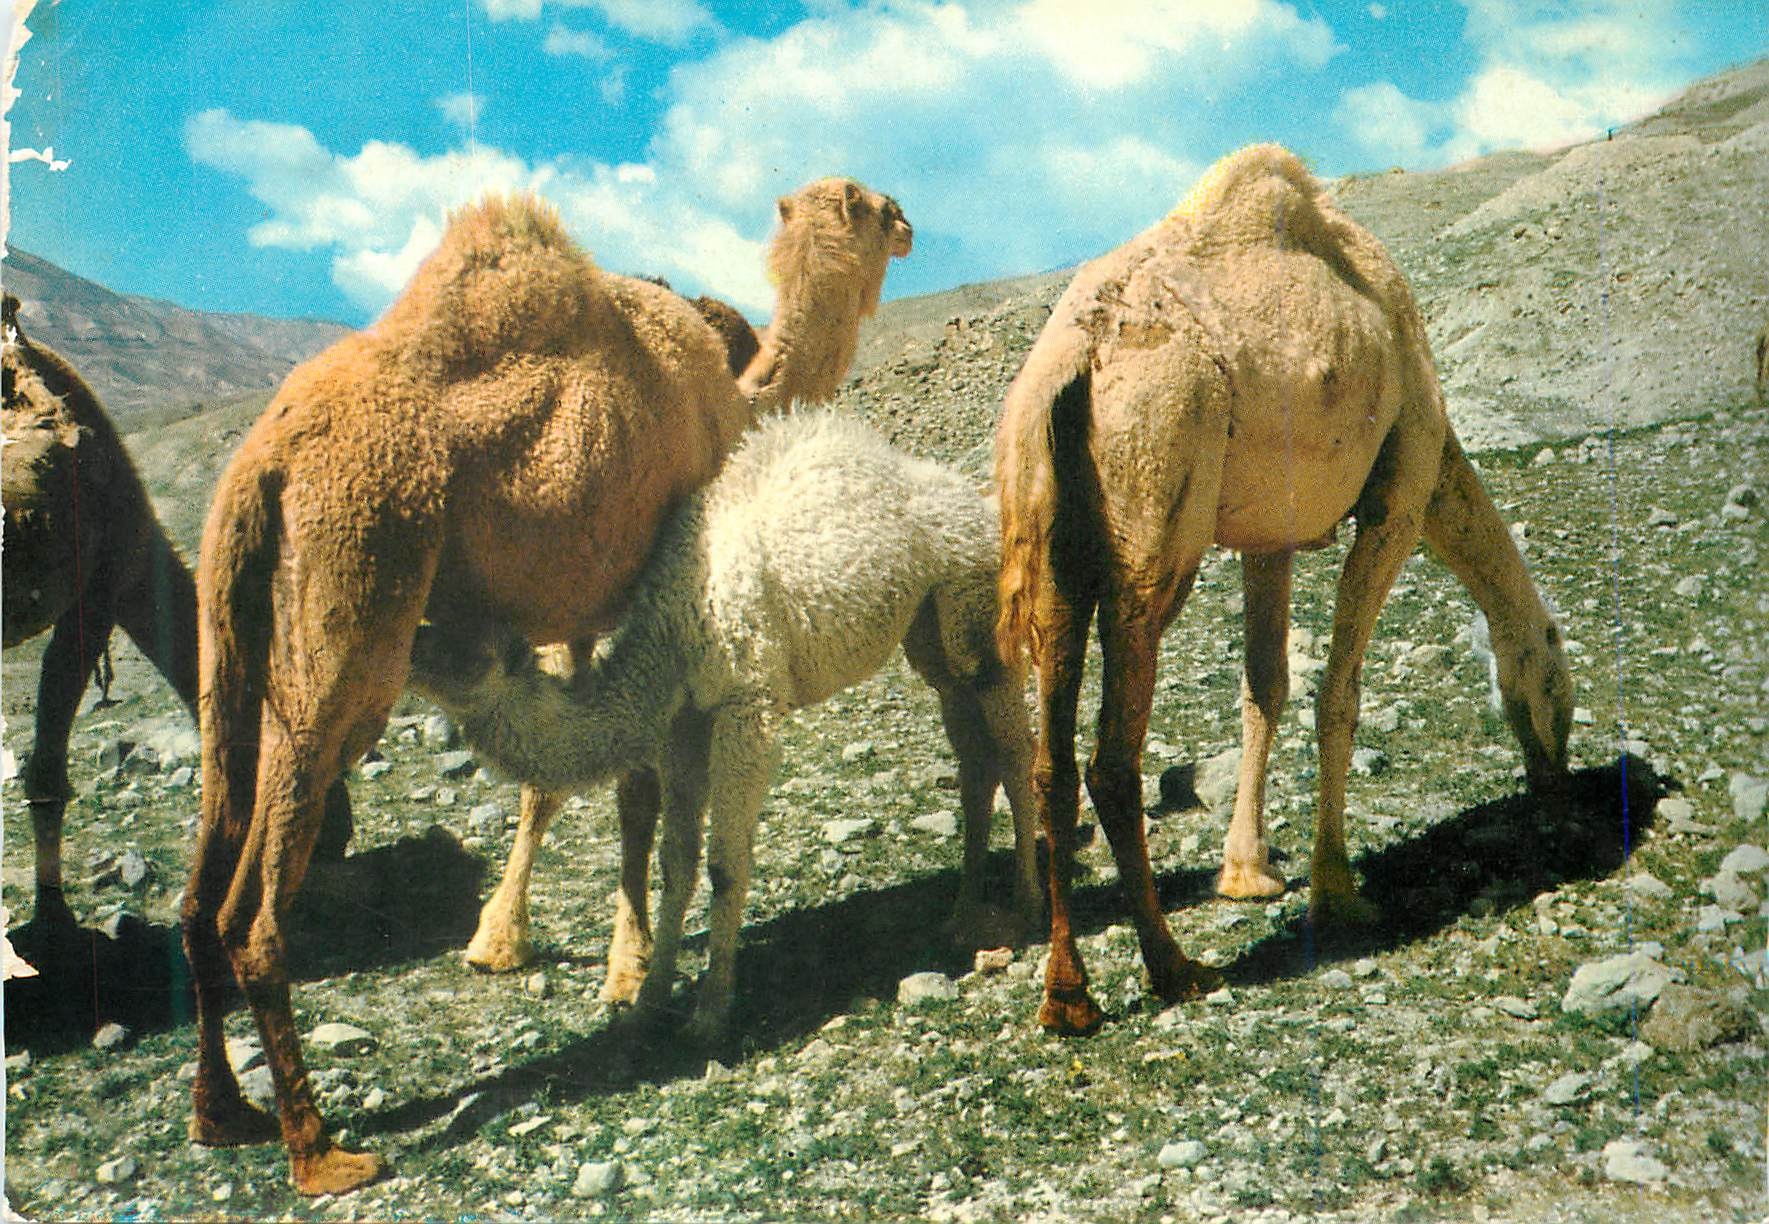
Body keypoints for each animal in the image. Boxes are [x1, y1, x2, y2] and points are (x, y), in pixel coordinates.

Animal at [185, 179, 910, 1195]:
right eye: (874, 207)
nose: (910, 224)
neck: (732, 395)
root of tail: (266, 462)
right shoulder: (662, 578)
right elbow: (636, 792)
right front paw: (629, 970)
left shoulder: (584, 606)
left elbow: (566, 784)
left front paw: (517, 943)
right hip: (353, 615)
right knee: (254, 908)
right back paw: (321, 1152)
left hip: (226, 628)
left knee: (200, 881)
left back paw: (223, 1114)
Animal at [411, 410, 1043, 1044]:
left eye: (461, 648)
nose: (408, 649)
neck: (669, 637)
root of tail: (977, 503)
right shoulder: (682, 725)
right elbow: (676, 862)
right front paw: (648, 1001)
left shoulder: (747, 707)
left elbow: (722, 864)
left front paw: (711, 1011)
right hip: (931, 633)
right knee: (973, 755)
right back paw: (963, 912)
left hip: (979, 609)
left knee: (1014, 748)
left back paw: (1029, 901)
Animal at [994, 145, 1573, 1036]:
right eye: (1560, 687)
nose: (1556, 779)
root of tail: (1069, 364)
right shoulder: (1400, 493)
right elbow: (1337, 691)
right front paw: (1338, 889)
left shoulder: (1267, 538)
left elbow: (1264, 684)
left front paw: (1248, 871)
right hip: (1154, 517)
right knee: (1112, 760)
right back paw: (1173, 968)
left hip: (1050, 549)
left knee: (1050, 764)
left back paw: (1068, 998)